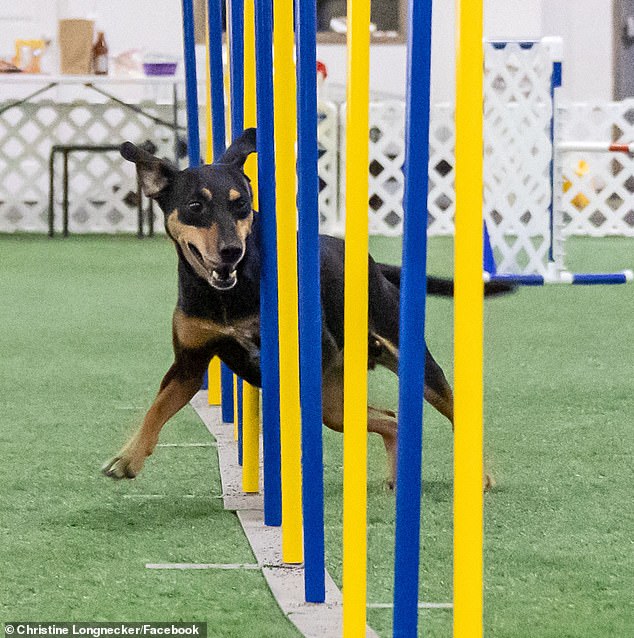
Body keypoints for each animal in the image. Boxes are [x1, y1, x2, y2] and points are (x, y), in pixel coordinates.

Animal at [102, 130, 508, 490]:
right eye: (195, 206)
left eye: (241, 204)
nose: (232, 250)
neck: (228, 293)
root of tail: (373, 265)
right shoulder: (190, 362)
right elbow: (158, 407)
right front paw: (127, 458)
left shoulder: (314, 351)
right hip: (338, 402)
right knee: (389, 418)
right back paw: (396, 478)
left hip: (407, 358)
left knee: (455, 410)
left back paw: (481, 476)